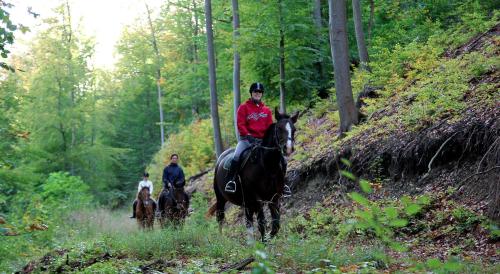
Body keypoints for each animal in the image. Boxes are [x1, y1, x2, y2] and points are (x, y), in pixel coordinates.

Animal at [207, 108, 296, 242]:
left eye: (294, 129)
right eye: (279, 128)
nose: (289, 148)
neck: (267, 166)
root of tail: (221, 158)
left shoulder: (274, 198)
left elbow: (276, 223)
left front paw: (267, 239)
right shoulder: (257, 198)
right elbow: (262, 222)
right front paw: (264, 242)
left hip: (246, 202)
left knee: (248, 219)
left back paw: (250, 242)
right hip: (221, 198)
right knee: (220, 217)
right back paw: (222, 240)